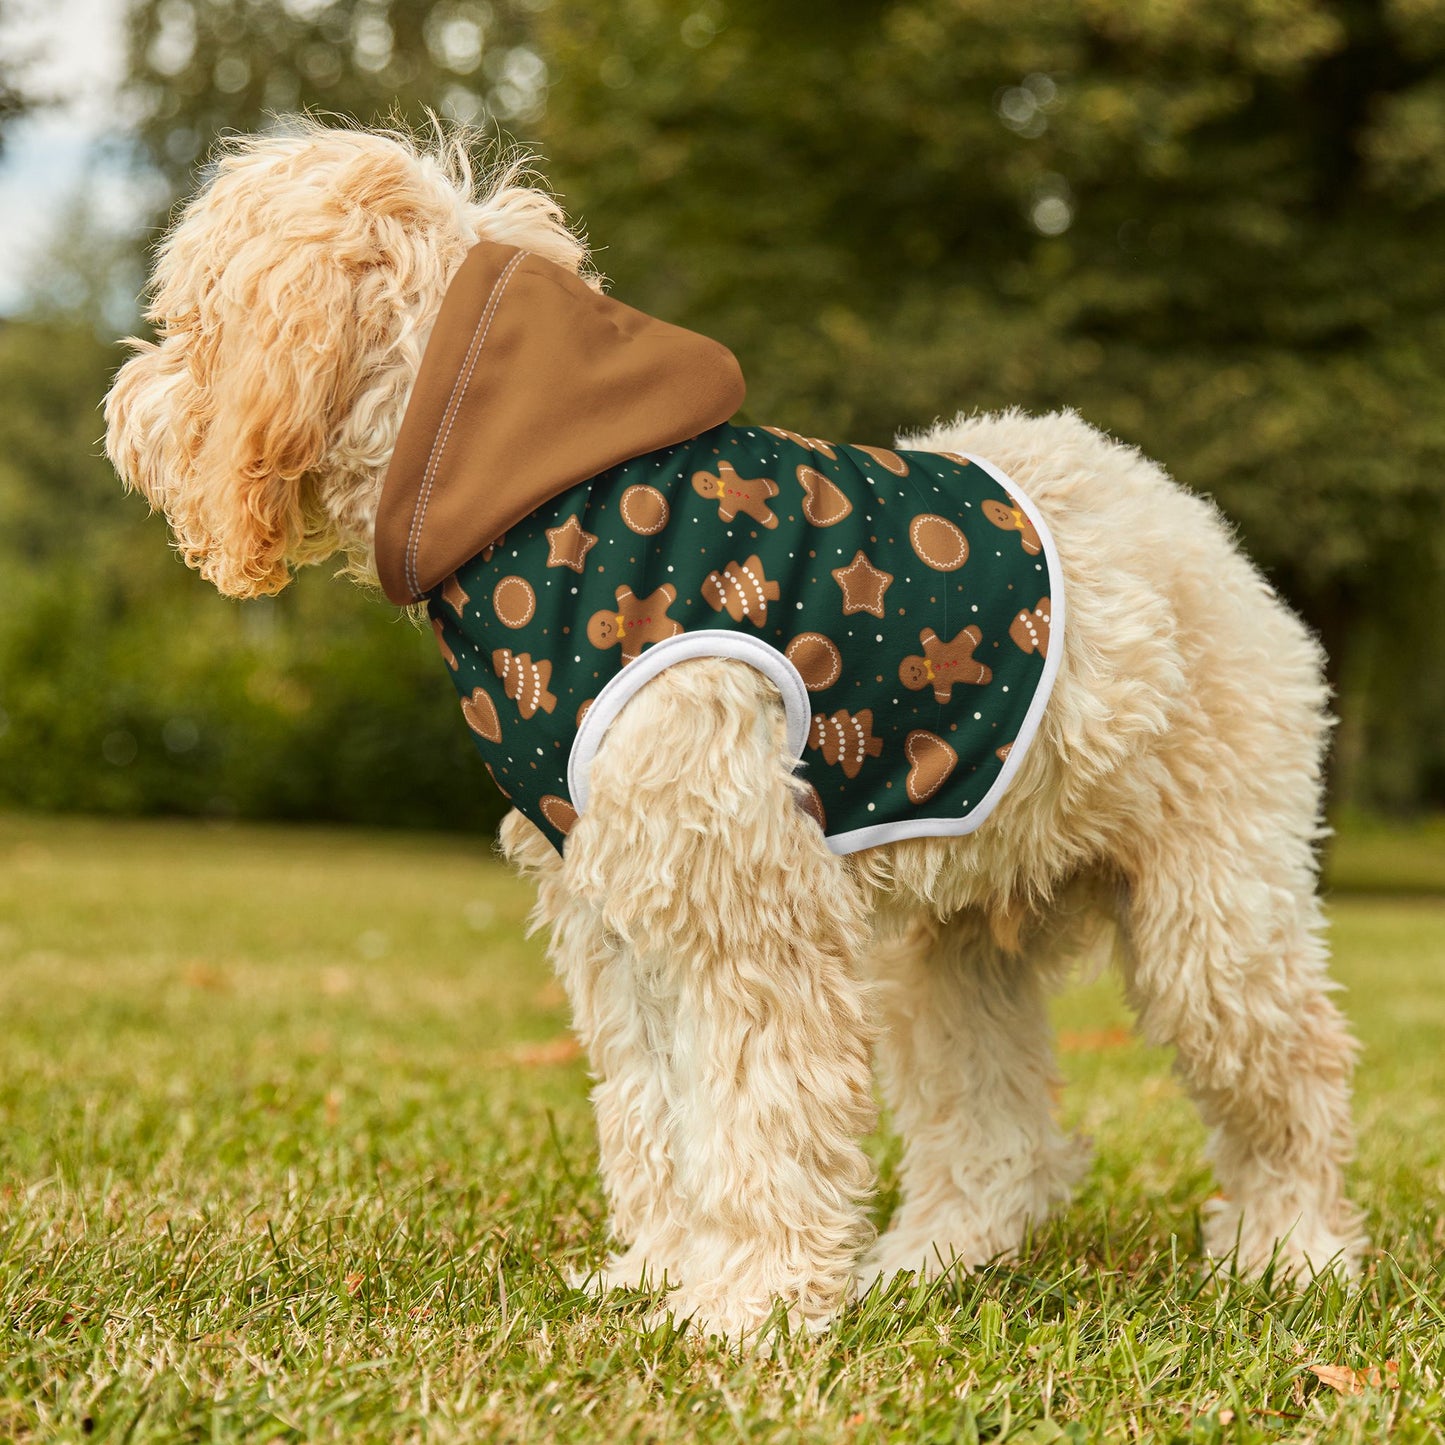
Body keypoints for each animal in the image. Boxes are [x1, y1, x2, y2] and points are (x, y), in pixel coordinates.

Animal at [106, 124, 1358, 1340]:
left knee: (1294, 1074)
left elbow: (758, 1113)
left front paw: (745, 1304)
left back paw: (1291, 1253)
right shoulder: (617, 910)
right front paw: (661, 1272)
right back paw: (931, 1260)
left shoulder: (743, 903)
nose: (122, 410)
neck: (536, 499)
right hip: (951, 947)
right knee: (997, 1134)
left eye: (190, 322)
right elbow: (656, 1110)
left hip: (1212, 916)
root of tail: (1186, 517)